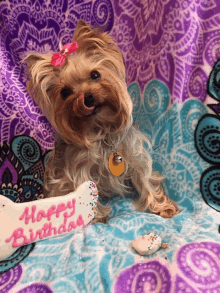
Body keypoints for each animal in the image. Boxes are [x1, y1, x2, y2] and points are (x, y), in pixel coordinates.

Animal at [25, 20, 179, 221]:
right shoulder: (78, 170)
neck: (101, 129)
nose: (87, 97)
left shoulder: (135, 154)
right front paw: (96, 217)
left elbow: (145, 179)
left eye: (95, 75)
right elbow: (85, 192)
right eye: (65, 92)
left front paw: (161, 206)